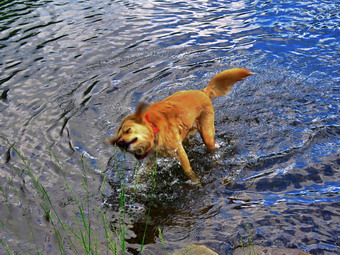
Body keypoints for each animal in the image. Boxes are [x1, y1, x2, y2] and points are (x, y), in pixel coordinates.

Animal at [106, 67, 252, 182]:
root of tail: (202, 92)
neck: (154, 128)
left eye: (128, 130)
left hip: (207, 135)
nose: (120, 143)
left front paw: (195, 182)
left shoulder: (179, 151)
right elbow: (141, 176)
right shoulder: (152, 158)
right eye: (119, 136)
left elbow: (188, 171)